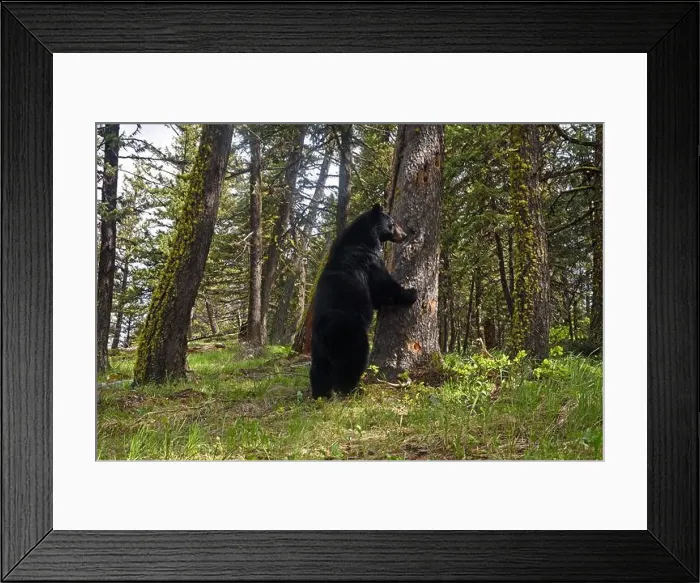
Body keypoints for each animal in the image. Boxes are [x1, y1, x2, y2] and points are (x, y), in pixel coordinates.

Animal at [310, 203, 418, 399]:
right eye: (392, 223)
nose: (404, 234)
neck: (364, 239)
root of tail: (323, 335)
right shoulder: (368, 261)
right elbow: (383, 285)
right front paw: (411, 293)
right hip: (351, 336)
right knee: (352, 363)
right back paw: (352, 390)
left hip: (317, 349)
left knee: (319, 370)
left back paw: (321, 395)